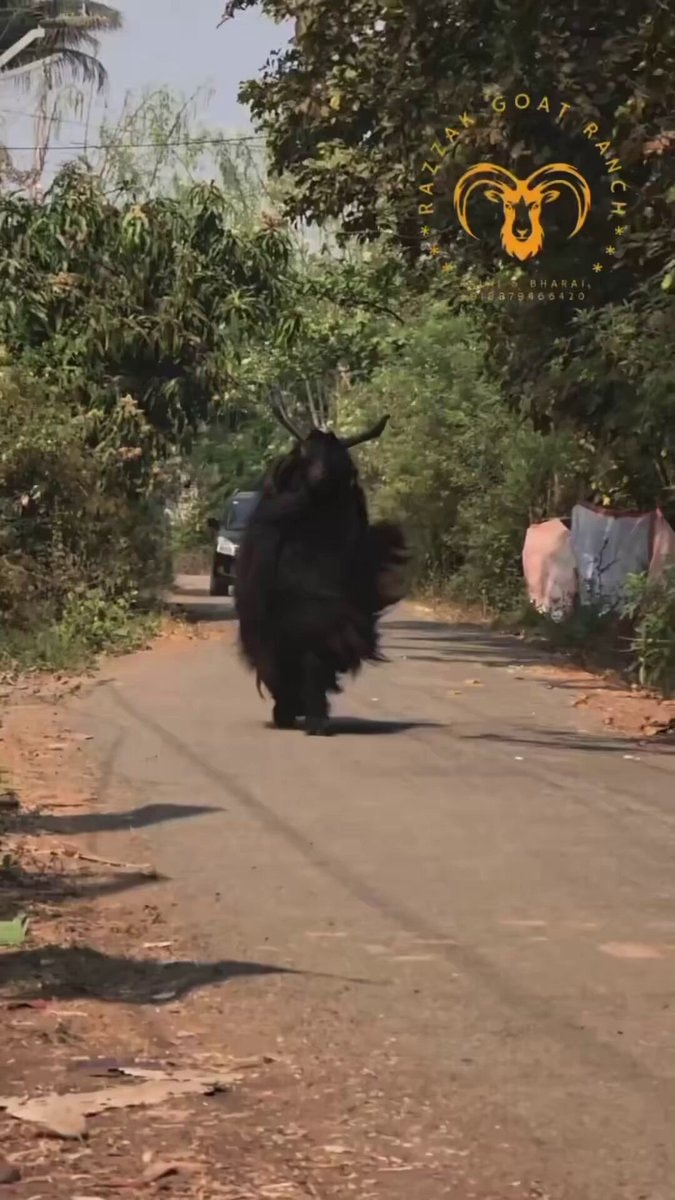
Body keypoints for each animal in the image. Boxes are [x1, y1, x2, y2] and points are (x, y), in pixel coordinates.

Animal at [234, 400, 407, 735]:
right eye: (304, 455)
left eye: (341, 462)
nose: (320, 477)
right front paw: (291, 709)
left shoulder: (333, 617)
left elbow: (316, 662)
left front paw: (315, 716)